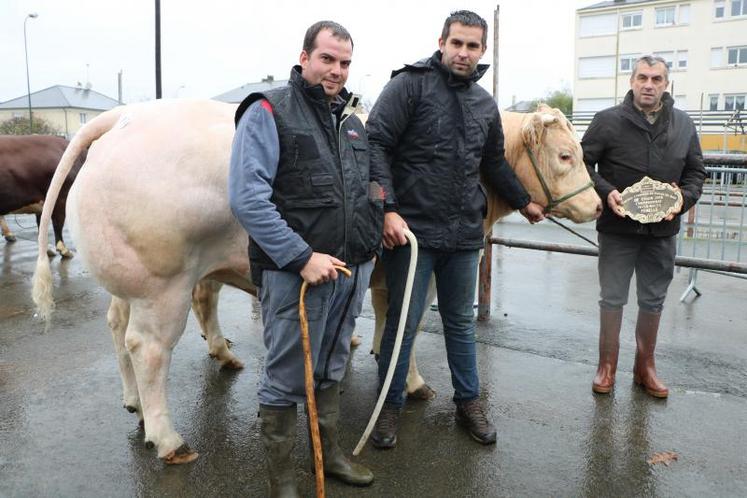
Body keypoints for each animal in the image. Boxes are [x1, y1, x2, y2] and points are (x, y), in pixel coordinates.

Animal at [33, 99, 600, 464]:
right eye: (566, 156)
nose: (598, 204)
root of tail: (125, 116)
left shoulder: (384, 272)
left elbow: (388, 321)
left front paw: (378, 360)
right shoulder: (417, 269)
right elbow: (410, 325)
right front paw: (411, 383)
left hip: (130, 281)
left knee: (117, 329)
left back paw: (136, 401)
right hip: (161, 283)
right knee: (147, 348)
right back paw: (168, 437)